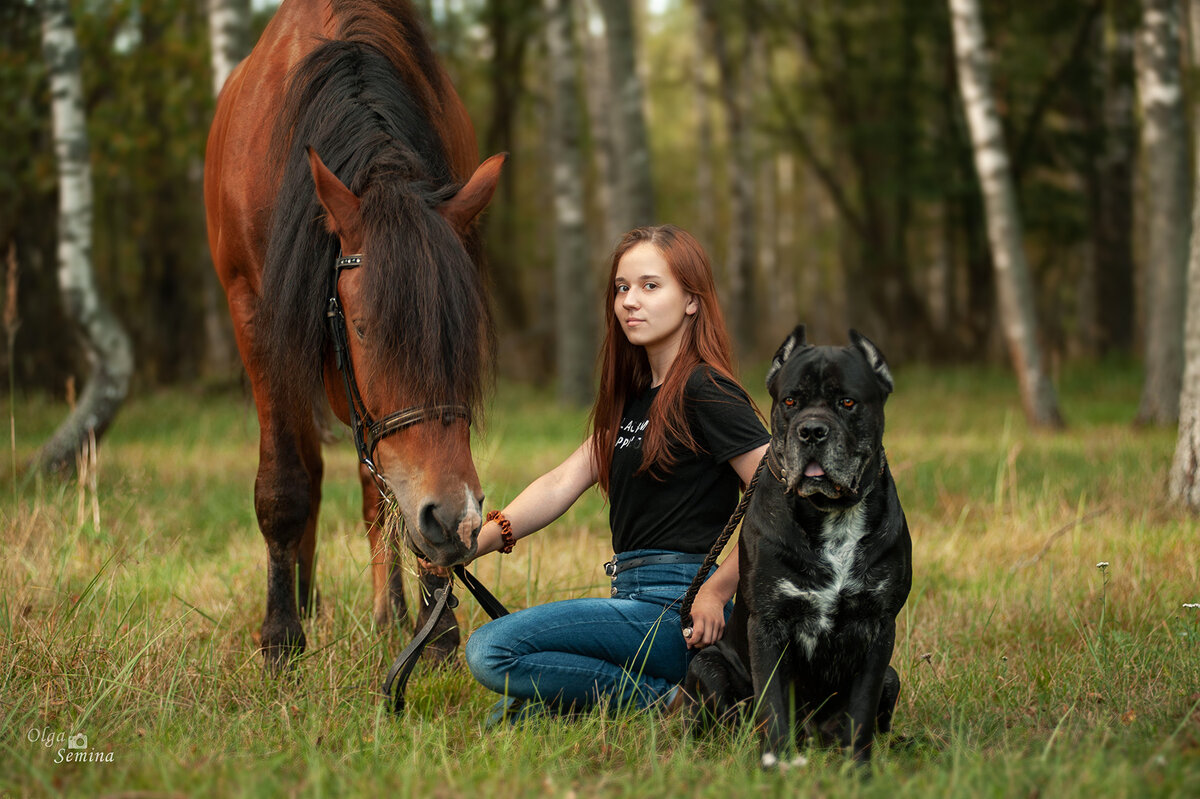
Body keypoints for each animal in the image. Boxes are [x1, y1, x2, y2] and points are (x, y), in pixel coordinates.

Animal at [202, 0, 501, 667]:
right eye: (363, 329)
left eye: (462, 336)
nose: (457, 519)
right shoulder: (255, 314)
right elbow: (286, 482)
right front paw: (281, 634)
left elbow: (388, 490)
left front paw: (434, 628)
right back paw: (303, 598)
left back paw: (392, 613)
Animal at [681, 323, 912, 767]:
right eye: (790, 401)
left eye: (847, 402)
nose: (812, 430)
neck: (831, 515)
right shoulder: (768, 624)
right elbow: (773, 702)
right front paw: (775, 763)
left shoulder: (879, 627)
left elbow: (862, 708)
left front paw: (858, 768)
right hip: (707, 663)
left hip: (892, 677)